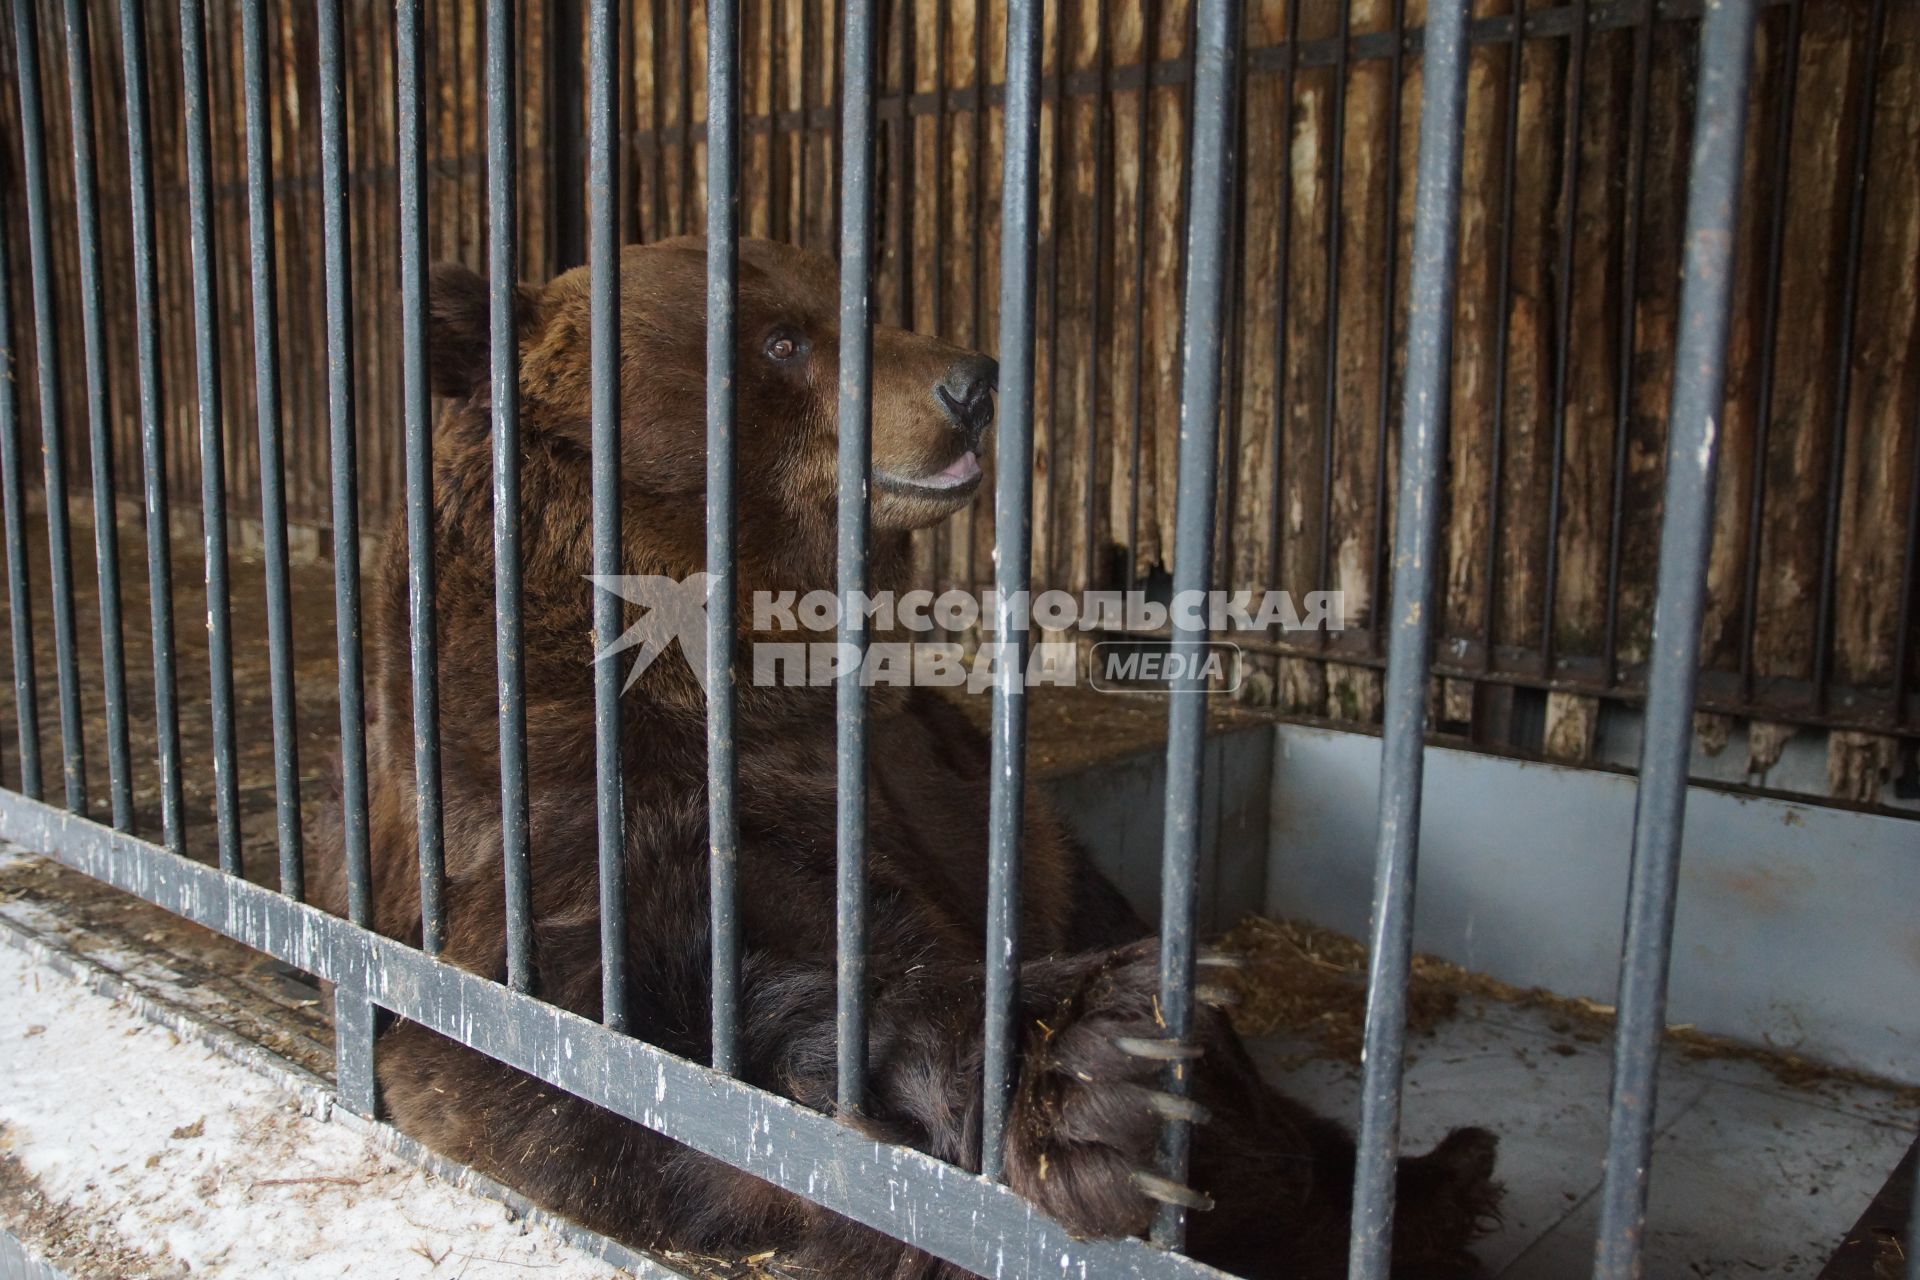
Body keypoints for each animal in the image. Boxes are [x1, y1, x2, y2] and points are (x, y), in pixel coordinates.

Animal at [311, 239, 1497, 1280]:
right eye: (782, 340)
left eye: (861, 297)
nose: (972, 381)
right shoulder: (554, 795)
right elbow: (645, 1031)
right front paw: (1091, 1072)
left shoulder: (919, 773)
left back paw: (1437, 1171)